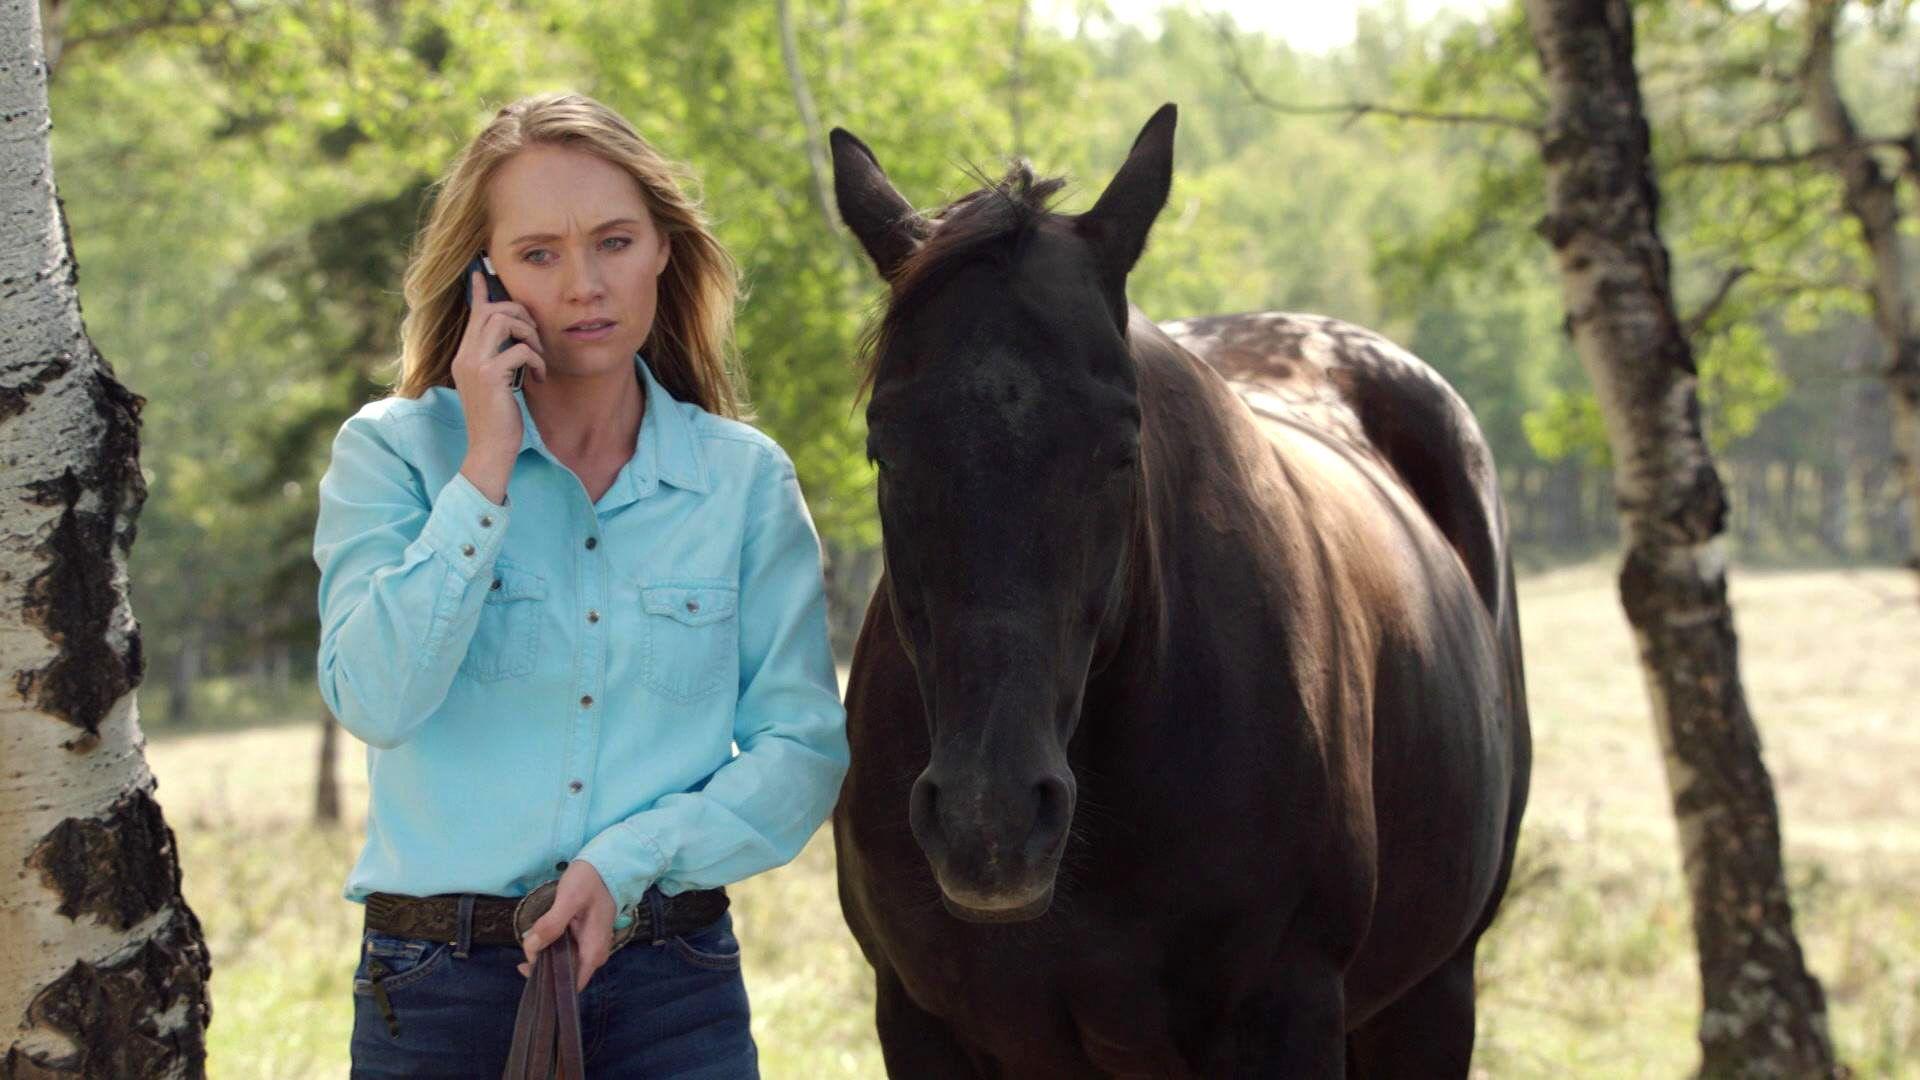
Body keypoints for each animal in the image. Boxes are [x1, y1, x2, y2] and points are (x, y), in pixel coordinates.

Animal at [827, 104, 1532, 1077]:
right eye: (884, 447)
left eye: (1123, 447)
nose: (989, 823)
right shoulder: (919, 1021)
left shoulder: (1287, 1018)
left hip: (1434, 996)